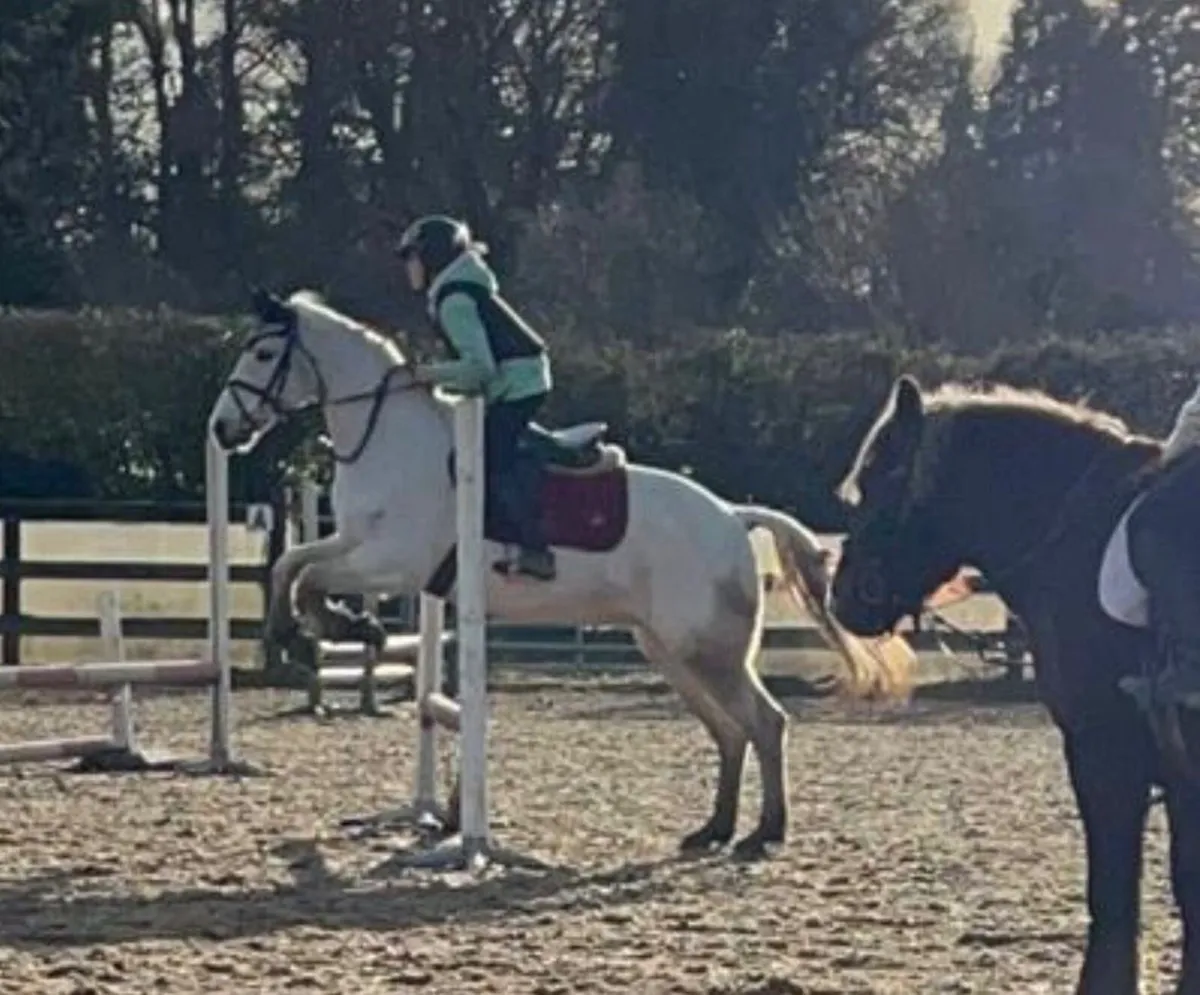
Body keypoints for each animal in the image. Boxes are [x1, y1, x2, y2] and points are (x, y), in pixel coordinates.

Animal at [207, 288, 916, 858]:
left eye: (263, 354)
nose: (223, 427)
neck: (389, 439)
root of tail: (732, 517)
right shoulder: (357, 543)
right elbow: (293, 565)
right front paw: (321, 630)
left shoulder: (392, 558)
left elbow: (308, 575)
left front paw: (326, 629)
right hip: (670, 651)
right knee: (729, 731)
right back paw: (713, 829)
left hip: (707, 652)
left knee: (764, 724)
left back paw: (764, 833)